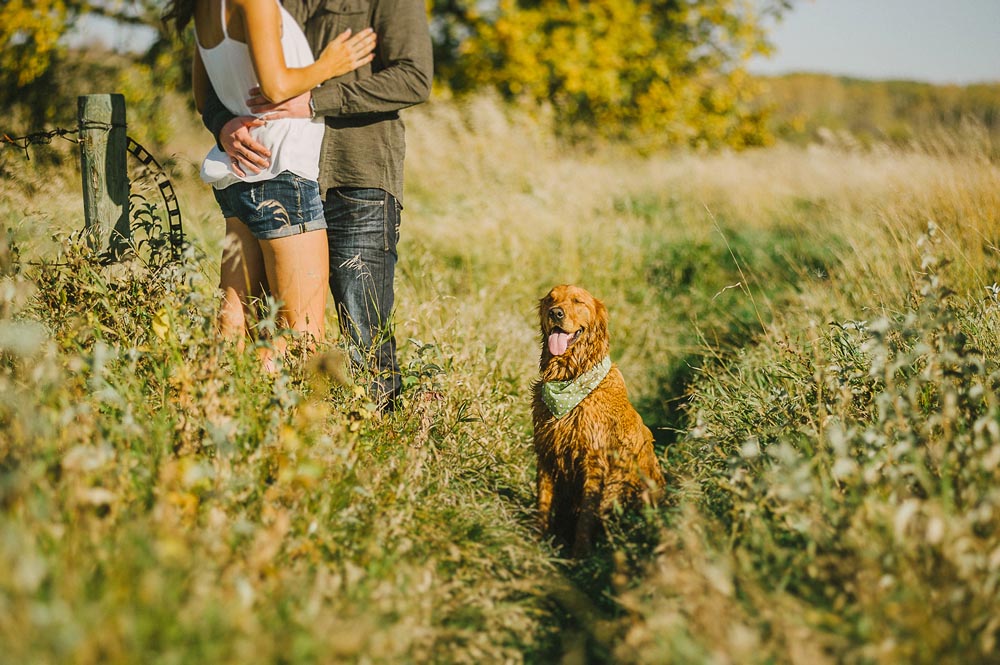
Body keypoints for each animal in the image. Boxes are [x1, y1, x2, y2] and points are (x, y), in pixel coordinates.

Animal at [532, 284, 664, 556]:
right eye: (551, 299)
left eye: (577, 301)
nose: (555, 313)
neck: (569, 377)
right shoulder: (546, 453)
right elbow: (543, 504)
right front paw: (534, 545)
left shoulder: (595, 460)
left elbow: (586, 516)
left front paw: (579, 556)